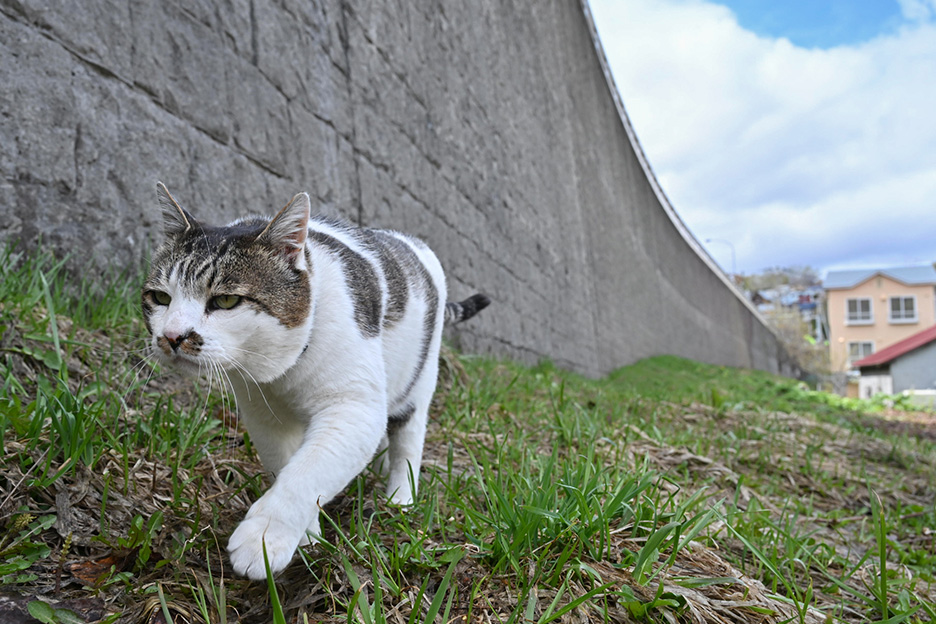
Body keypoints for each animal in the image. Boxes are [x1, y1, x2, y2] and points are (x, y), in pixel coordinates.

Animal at [143, 182, 490, 580]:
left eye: (226, 300)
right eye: (160, 297)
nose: (171, 336)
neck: (284, 372)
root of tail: (413, 242)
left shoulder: (353, 408)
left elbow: (308, 472)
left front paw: (264, 540)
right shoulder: (264, 415)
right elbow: (287, 466)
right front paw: (308, 538)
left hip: (418, 379)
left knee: (408, 438)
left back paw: (400, 497)